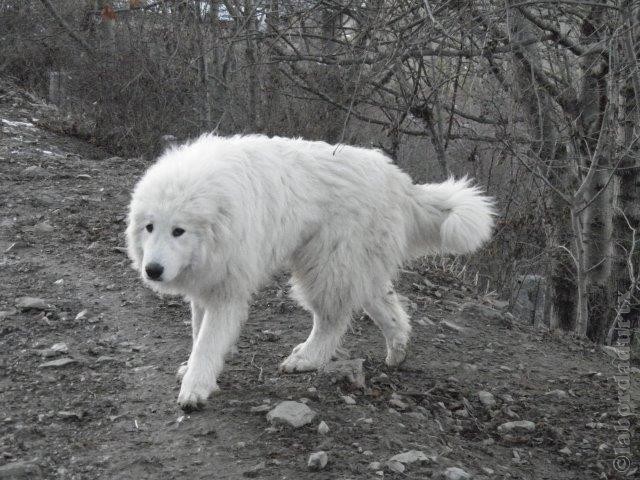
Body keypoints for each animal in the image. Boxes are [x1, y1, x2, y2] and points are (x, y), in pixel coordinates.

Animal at [126, 133, 496, 410]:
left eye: (179, 231)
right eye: (149, 227)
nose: (153, 270)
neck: (219, 219)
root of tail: (400, 182)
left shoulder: (227, 291)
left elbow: (206, 342)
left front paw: (195, 388)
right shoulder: (207, 286)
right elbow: (197, 333)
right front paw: (194, 369)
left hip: (326, 267)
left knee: (331, 321)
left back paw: (306, 358)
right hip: (355, 267)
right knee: (389, 310)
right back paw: (397, 352)